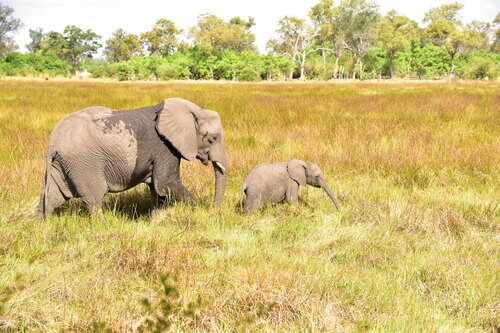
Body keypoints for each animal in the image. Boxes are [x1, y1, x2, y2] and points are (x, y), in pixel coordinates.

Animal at [37, 97, 229, 218]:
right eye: (212, 139)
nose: (215, 211)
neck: (193, 111)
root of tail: (52, 143)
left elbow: (157, 189)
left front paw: (155, 221)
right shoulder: (165, 147)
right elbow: (166, 184)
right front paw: (198, 211)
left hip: (61, 164)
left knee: (52, 197)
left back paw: (42, 226)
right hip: (83, 163)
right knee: (94, 198)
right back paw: (102, 226)